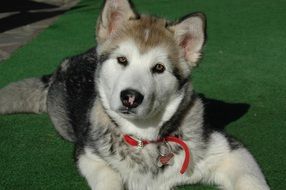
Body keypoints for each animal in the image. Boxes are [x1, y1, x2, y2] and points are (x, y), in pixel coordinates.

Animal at [0, 0, 270, 190]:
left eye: (159, 68)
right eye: (122, 60)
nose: (130, 97)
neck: (144, 139)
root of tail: (68, 62)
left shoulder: (229, 150)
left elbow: (251, 180)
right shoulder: (88, 154)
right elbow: (108, 177)